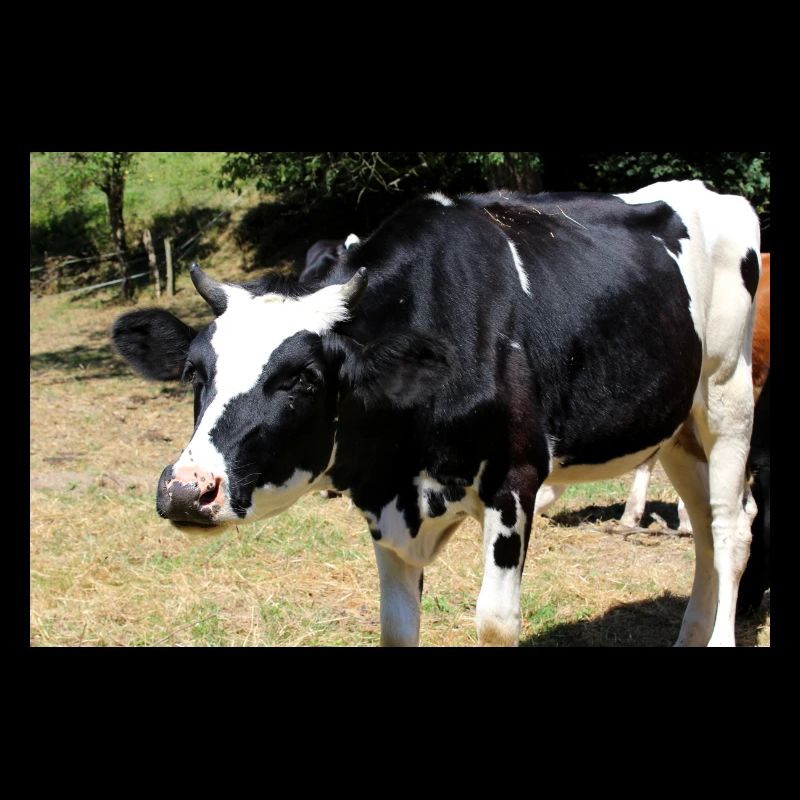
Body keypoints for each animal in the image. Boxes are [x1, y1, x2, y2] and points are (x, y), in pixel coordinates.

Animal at [112, 180, 760, 647]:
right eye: (195, 373)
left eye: (301, 379)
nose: (185, 490)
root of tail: (711, 191)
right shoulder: (385, 499)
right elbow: (398, 627)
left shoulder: (515, 479)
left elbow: (496, 622)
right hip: (677, 427)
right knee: (705, 526)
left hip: (728, 395)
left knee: (731, 527)